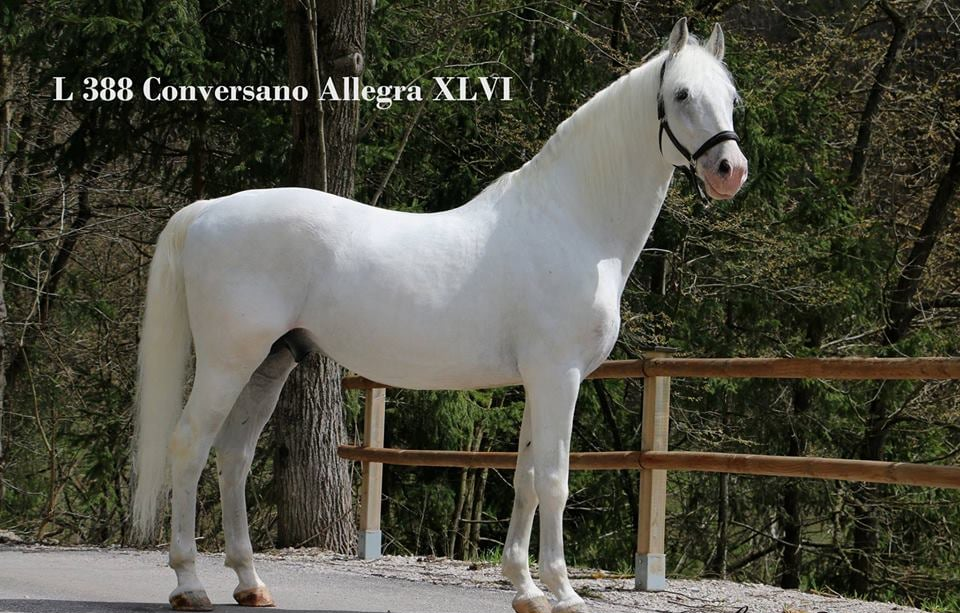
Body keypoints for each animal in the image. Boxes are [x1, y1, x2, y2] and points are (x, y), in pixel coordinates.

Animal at [130, 17, 747, 613]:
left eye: (732, 96)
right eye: (682, 93)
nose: (729, 170)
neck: (571, 221)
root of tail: (207, 210)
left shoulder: (537, 380)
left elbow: (525, 478)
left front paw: (525, 589)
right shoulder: (559, 376)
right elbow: (554, 480)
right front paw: (564, 592)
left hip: (272, 362)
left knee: (233, 455)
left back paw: (249, 583)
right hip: (227, 362)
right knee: (188, 445)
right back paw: (190, 585)